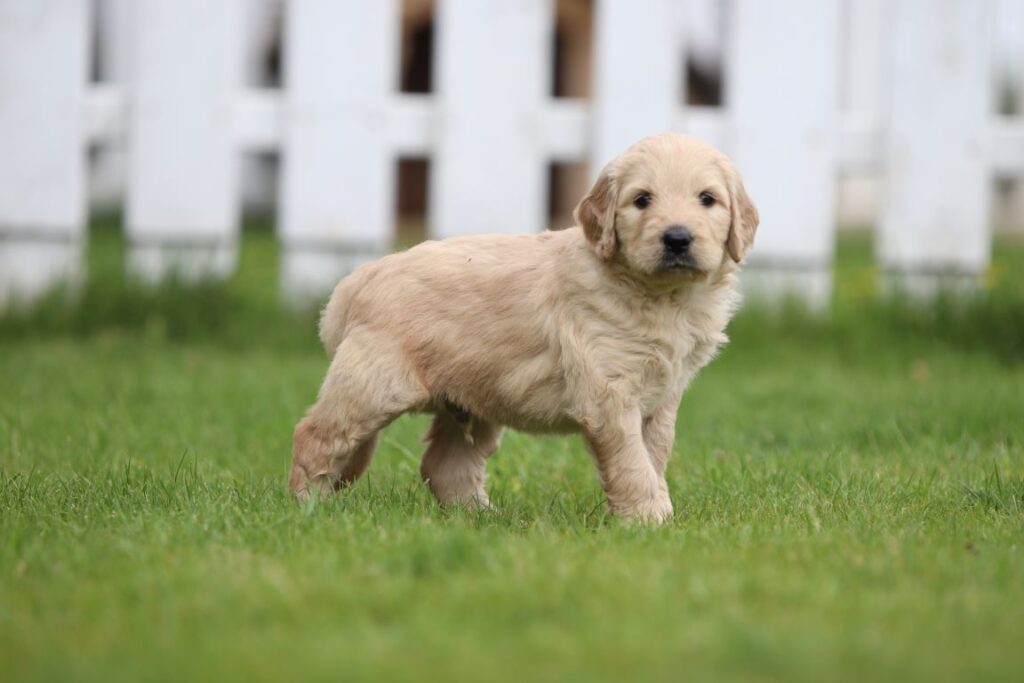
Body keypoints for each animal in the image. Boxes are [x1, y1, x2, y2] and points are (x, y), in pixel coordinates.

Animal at [292, 136, 757, 528]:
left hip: (470, 398)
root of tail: (357, 280)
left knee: (445, 464)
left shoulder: (662, 397)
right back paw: (306, 508)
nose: (677, 238)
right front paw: (649, 520)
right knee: (315, 434)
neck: (661, 298)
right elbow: (631, 462)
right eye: (642, 200)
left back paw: (482, 518)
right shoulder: (609, 393)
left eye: (707, 199)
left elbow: (654, 454)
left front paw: (655, 513)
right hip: (374, 384)